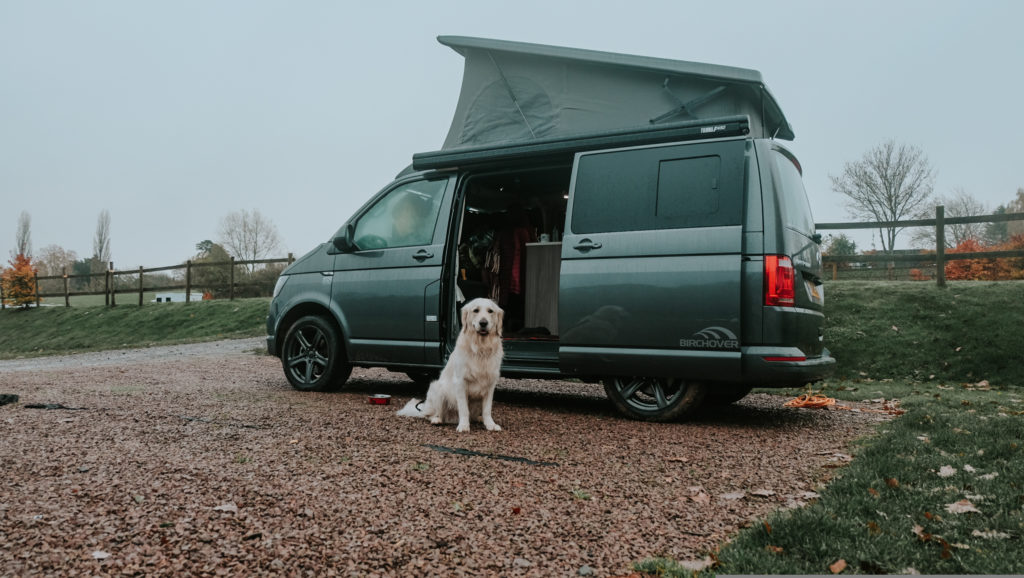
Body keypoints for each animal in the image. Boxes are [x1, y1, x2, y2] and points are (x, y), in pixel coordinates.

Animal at [395, 301, 503, 430]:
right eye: (475, 310)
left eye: (490, 311)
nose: (483, 323)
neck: (480, 349)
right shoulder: (460, 383)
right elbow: (464, 409)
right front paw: (463, 426)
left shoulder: (490, 385)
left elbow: (487, 410)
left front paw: (491, 425)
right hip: (438, 389)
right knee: (432, 414)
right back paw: (437, 419)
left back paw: (479, 419)